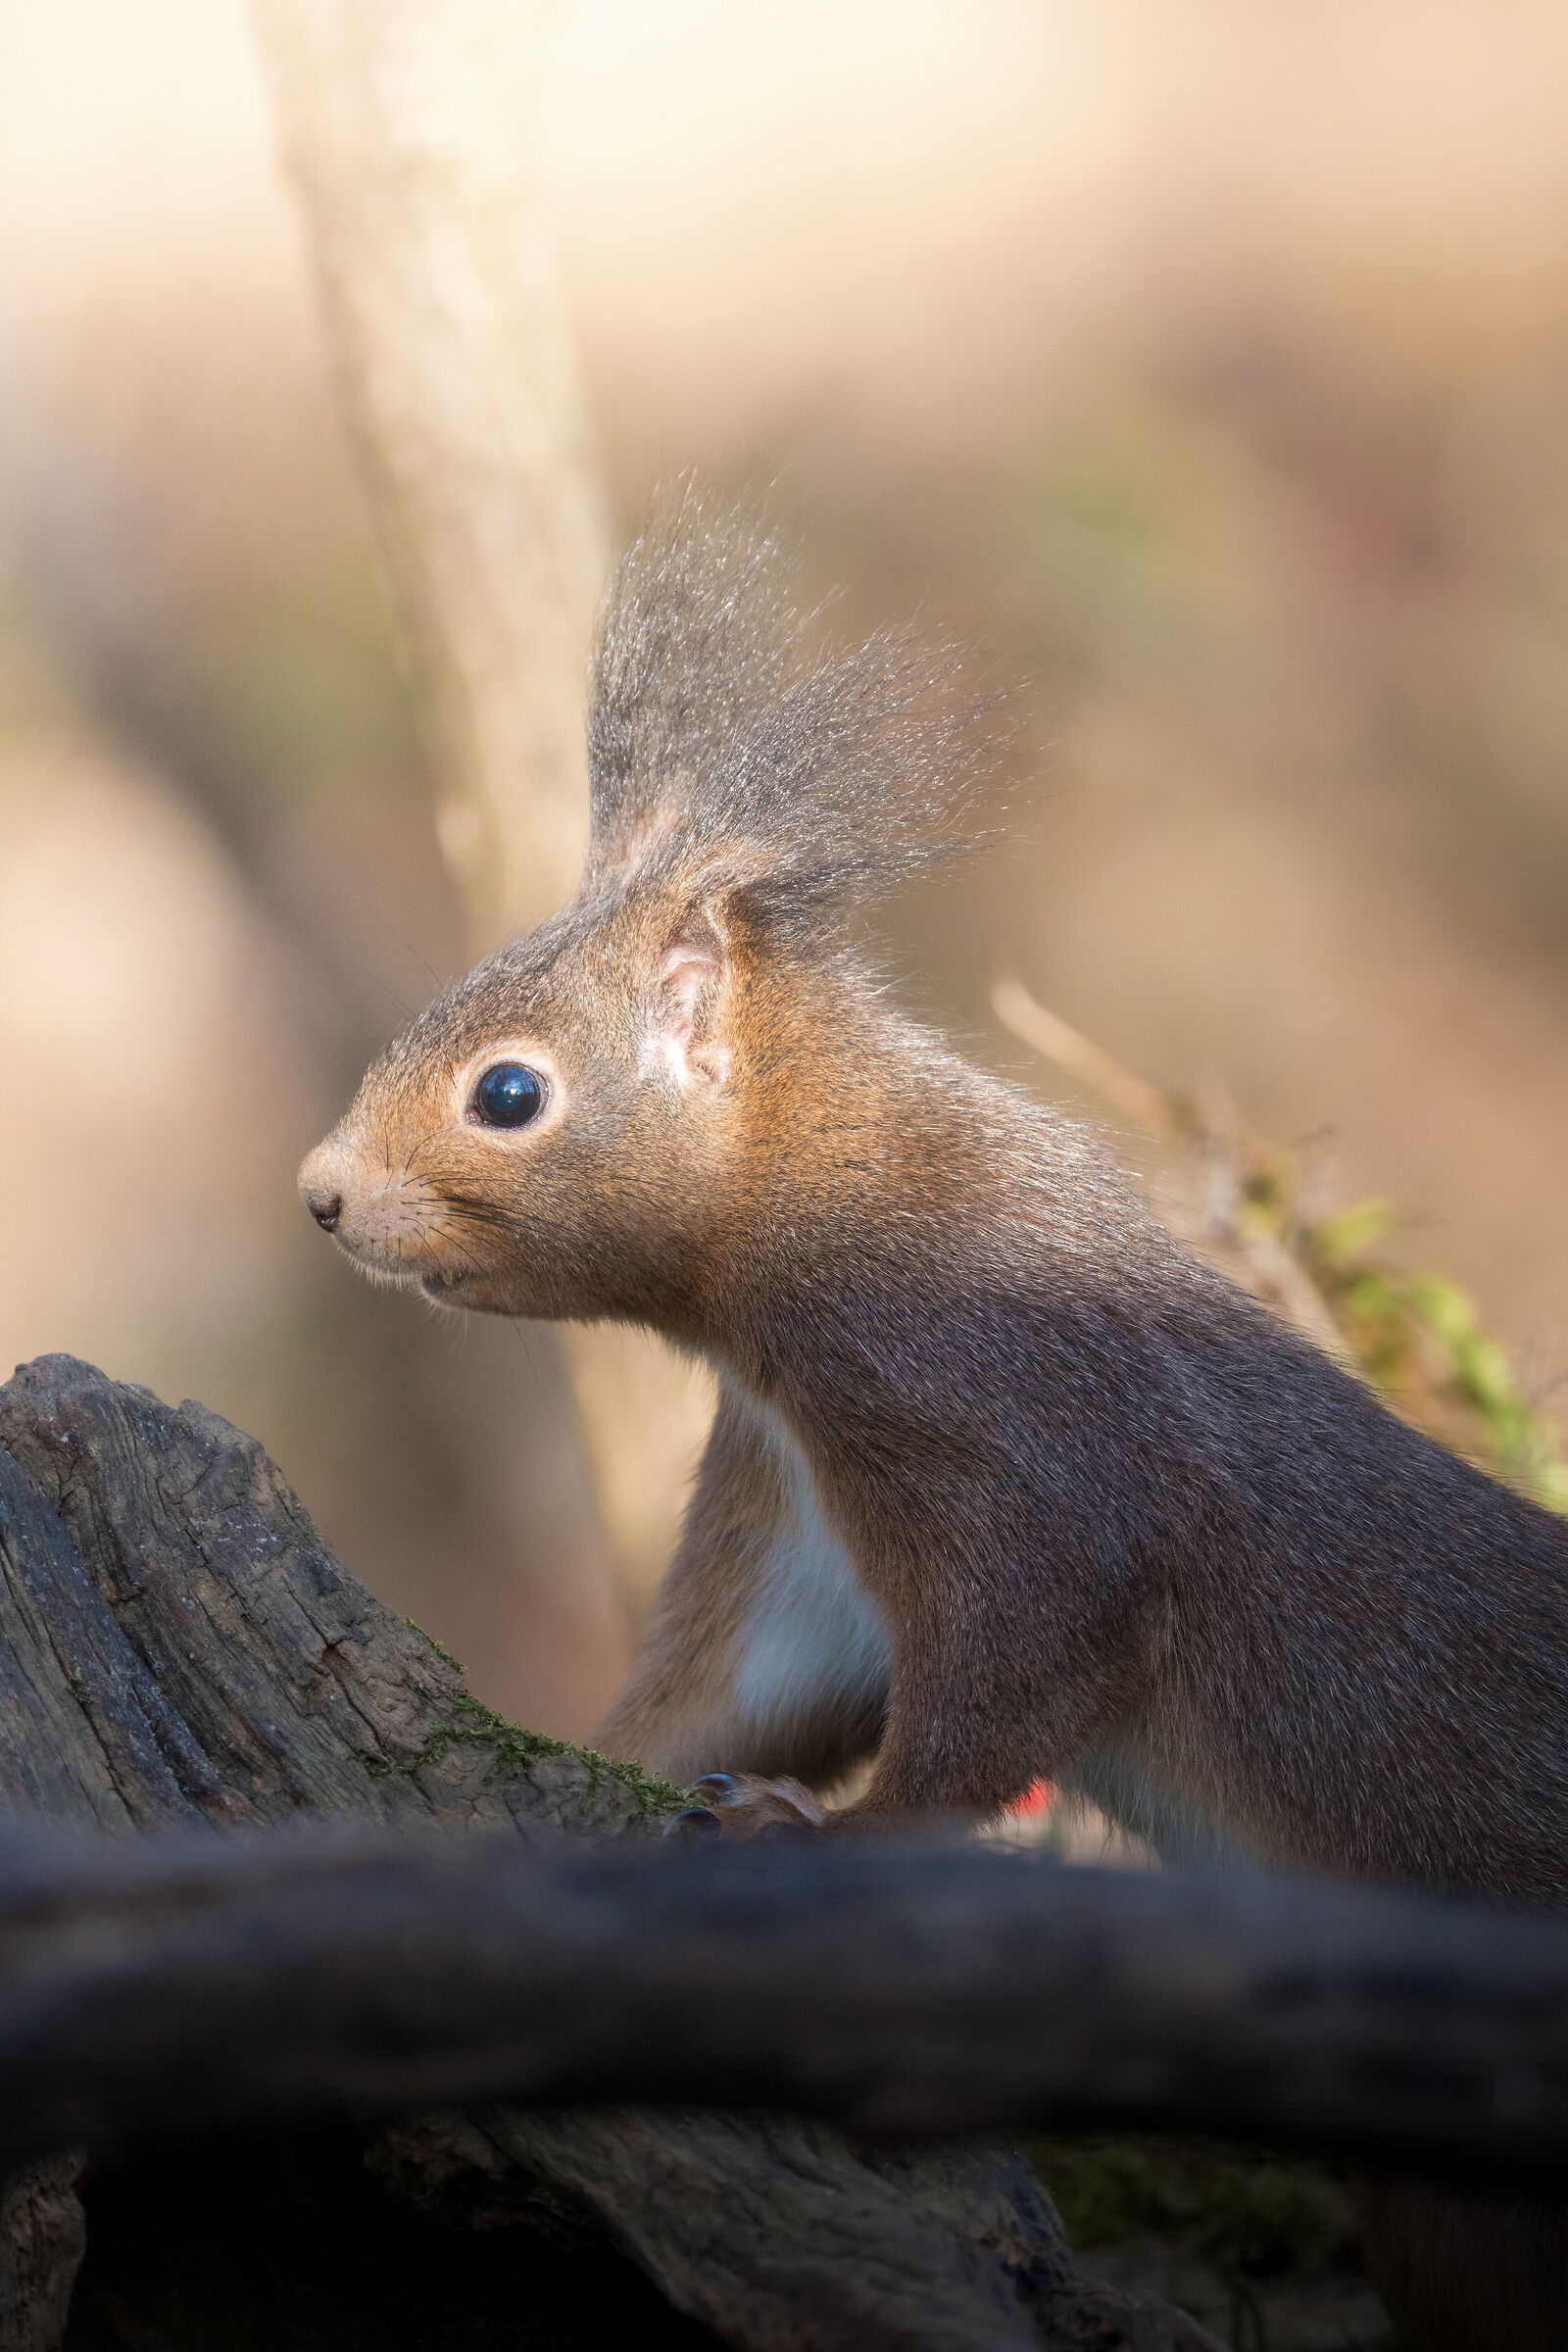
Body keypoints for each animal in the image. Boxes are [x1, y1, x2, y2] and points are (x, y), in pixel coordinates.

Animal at [300, 499, 1568, 2351]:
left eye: (509, 1092)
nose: (317, 1195)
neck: (825, 1207)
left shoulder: (1011, 1438)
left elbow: (1006, 1691)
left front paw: (819, 1832)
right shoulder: (795, 1515)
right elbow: (736, 1689)